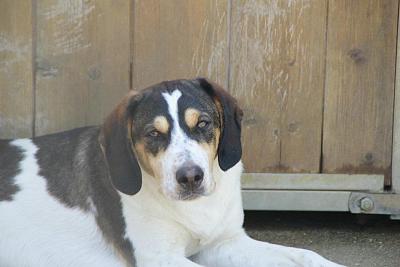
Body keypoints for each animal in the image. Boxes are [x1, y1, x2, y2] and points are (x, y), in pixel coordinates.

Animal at [0, 79, 344, 267]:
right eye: (154, 133)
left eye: (202, 123)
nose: (190, 177)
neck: (194, 209)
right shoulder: (156, 257)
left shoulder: (225, 244)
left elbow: (306, 255)